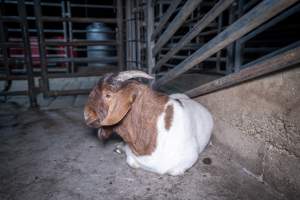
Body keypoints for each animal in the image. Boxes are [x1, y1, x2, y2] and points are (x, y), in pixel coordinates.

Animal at [83, 70, 212, 175]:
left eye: (108, 95)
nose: (86, 114)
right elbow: (131, 161)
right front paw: (122, 148)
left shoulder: (190, 156)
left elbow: (173, 171)